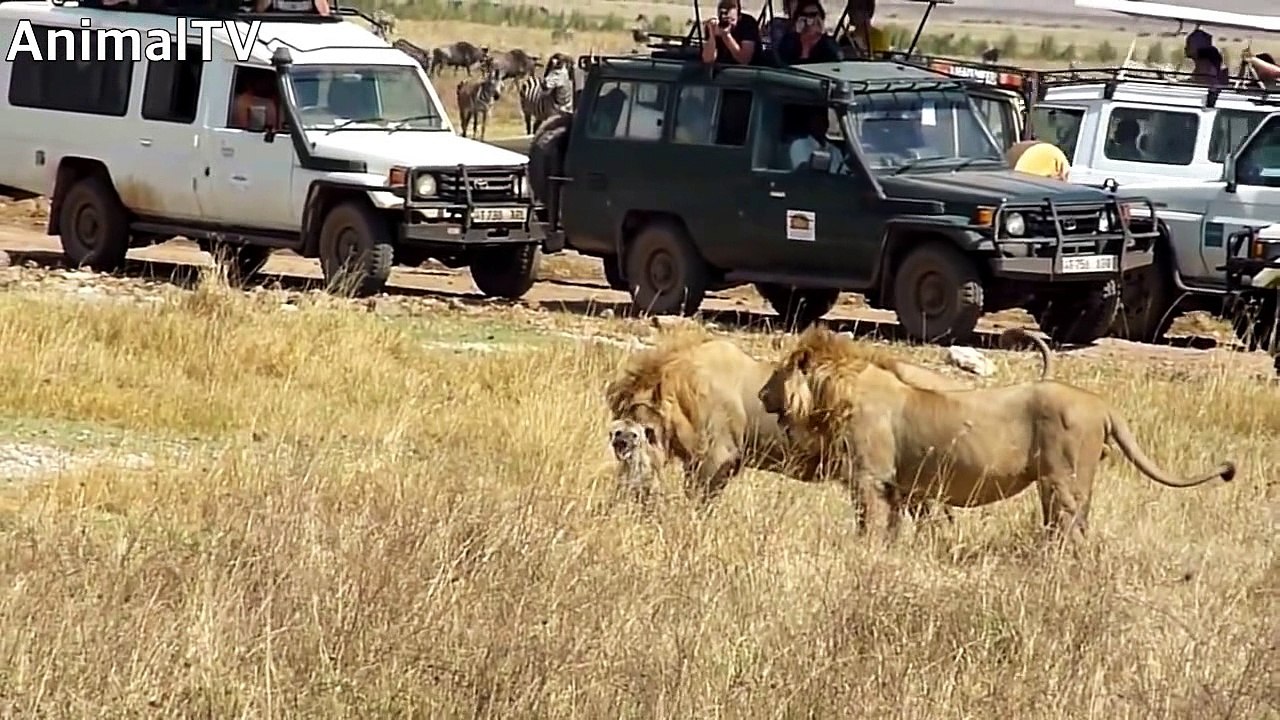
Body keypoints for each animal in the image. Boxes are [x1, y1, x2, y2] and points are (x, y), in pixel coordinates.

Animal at [757, 326, 1237, 544]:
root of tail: (1102, 404)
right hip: (1054, 484)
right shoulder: (901, 487)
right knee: (1066, 525)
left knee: (1076, 530)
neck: (839, 389)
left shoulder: (870, 478)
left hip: (1065, 479)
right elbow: (896, 526)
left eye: (777, 373)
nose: (761, 394)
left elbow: (868, 523)